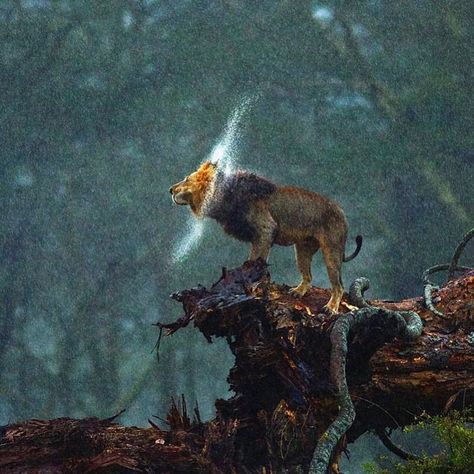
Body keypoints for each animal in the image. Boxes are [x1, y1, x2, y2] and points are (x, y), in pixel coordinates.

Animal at [170, 161, 362, 312]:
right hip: (302, 250)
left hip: (332, 250)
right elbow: (252, 260)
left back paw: (331, 307)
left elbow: (257, 260)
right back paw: (297, 292)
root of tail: (341, 212)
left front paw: (251, 285)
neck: (224, 196)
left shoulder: (265, 230)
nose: (170, 189)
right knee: (308, 277)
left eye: (186, 179)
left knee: (339, 286)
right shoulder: (258, 237)